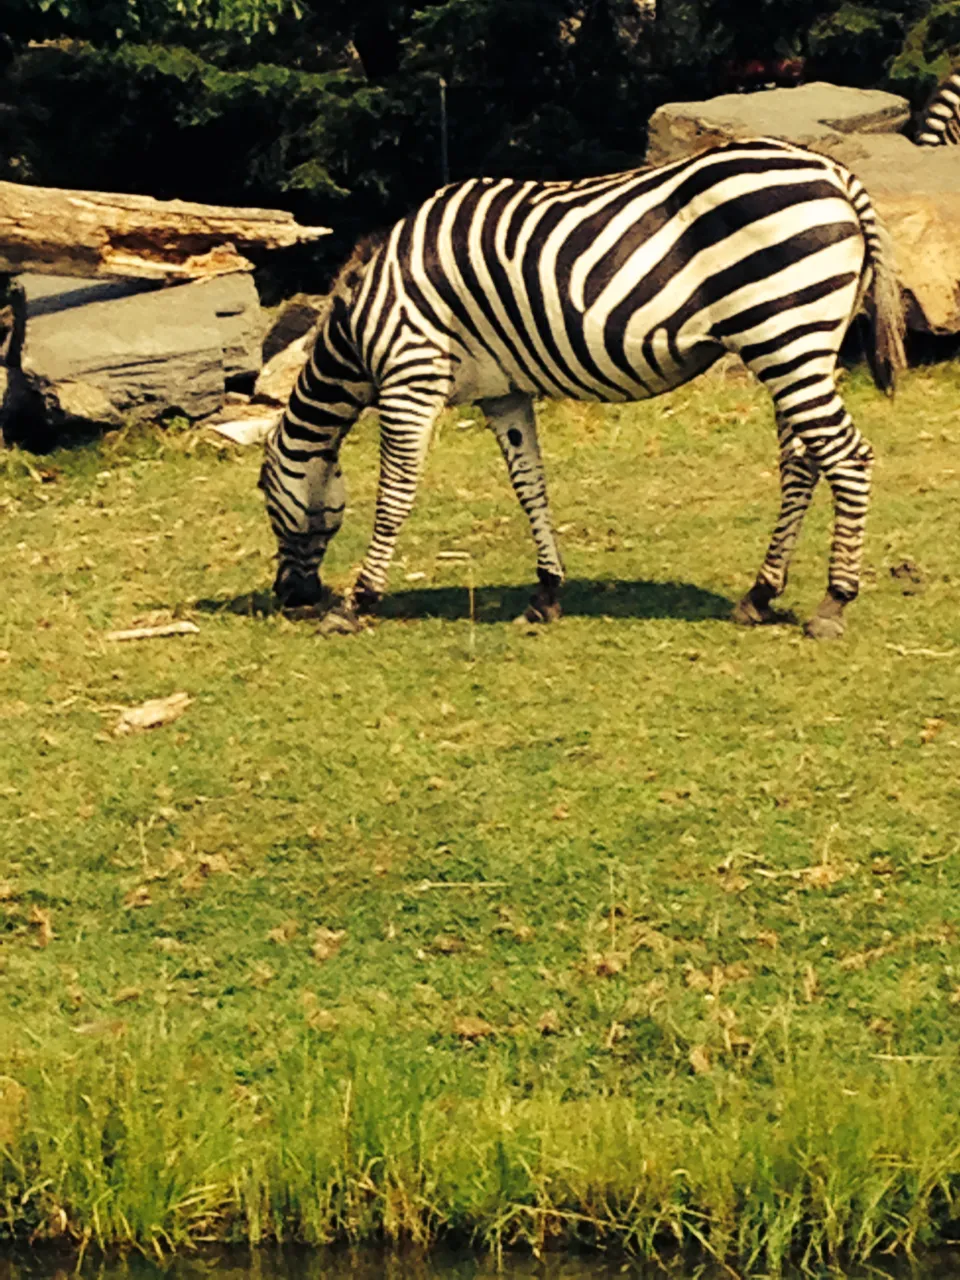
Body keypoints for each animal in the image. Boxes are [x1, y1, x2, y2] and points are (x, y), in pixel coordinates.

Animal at [259, 136, 906, 640]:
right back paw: (760, 594)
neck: (359, 324)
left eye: (266, 499)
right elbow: (530, 485)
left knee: (848, 458)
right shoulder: (503, 392)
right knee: (803, 462)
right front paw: (546, 593)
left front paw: (356, 603)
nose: (290, 597)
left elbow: (395, 494)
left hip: (785, 333)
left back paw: (833, 604)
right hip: (799, 344)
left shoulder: (409, 377)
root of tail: (835, 172)